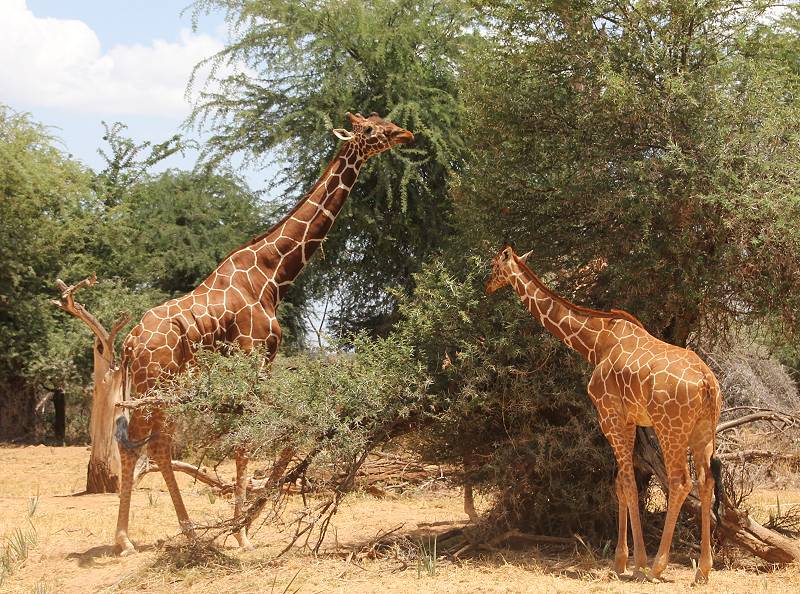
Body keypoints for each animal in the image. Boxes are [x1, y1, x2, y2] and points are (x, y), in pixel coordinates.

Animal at [111, 112, 412, 556]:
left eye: (381, 120)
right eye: (371, 130)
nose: (405, 133)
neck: (272, 275)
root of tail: (130, 343)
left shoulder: (267, 361)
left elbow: (282, 436)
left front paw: (247, 523)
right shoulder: (250, 354)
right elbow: (246, 443)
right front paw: (241, 532)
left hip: (167, 385)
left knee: (159, 446)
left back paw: (189, 532)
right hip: (154, 383)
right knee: (136, 444)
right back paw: (125, 540)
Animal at [488, 243, 724, 580]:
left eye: (494, 266)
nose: (487, 286)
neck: (595, 343)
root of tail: (707, 382)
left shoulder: (610, 415)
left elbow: (627, 483)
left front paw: (635, 561)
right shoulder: (630, 419)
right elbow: (620, 484)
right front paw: (621, 559)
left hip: (671, 427)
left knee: (680, 482)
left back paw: (657, 566)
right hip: (704, 428)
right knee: (706, 482)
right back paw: (703, 569)